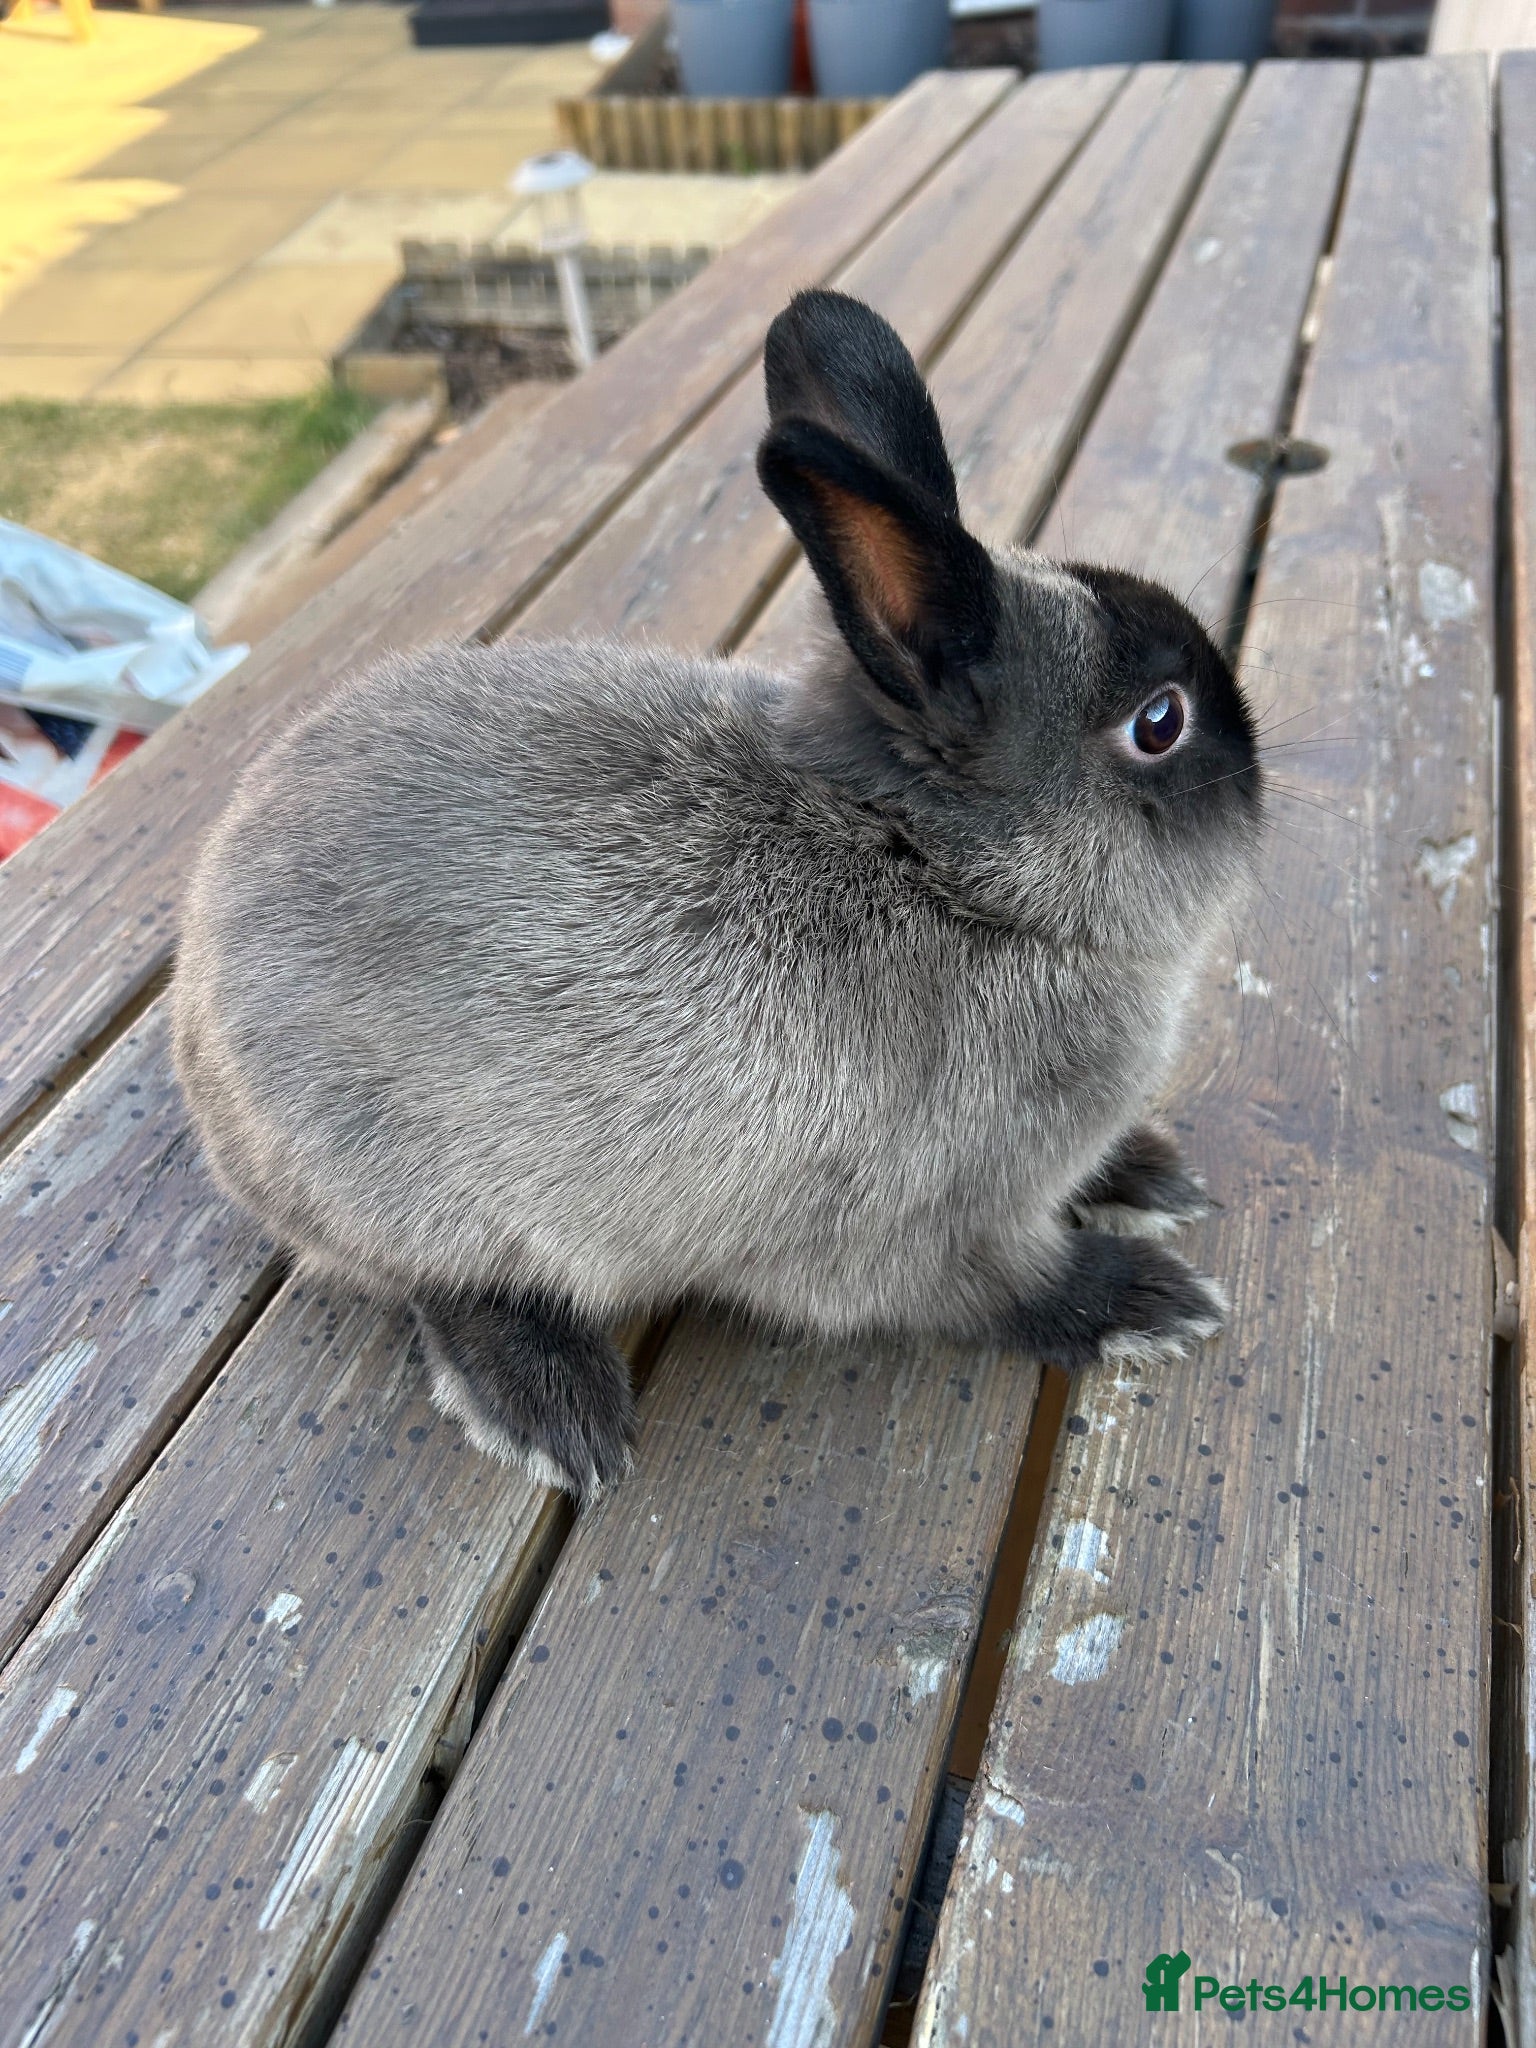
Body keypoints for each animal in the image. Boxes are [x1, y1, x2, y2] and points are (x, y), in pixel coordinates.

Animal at [172, 287, 1263, 1503]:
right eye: (1160, 724)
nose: (1258, 775)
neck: (947, 877)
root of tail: (197, 1005)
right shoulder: (933, 1229)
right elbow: (1013, 1290)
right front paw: (1149, 1300)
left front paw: (1149, 1170)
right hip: (425, 1196)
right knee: (443, 1284)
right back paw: (554, 1408)